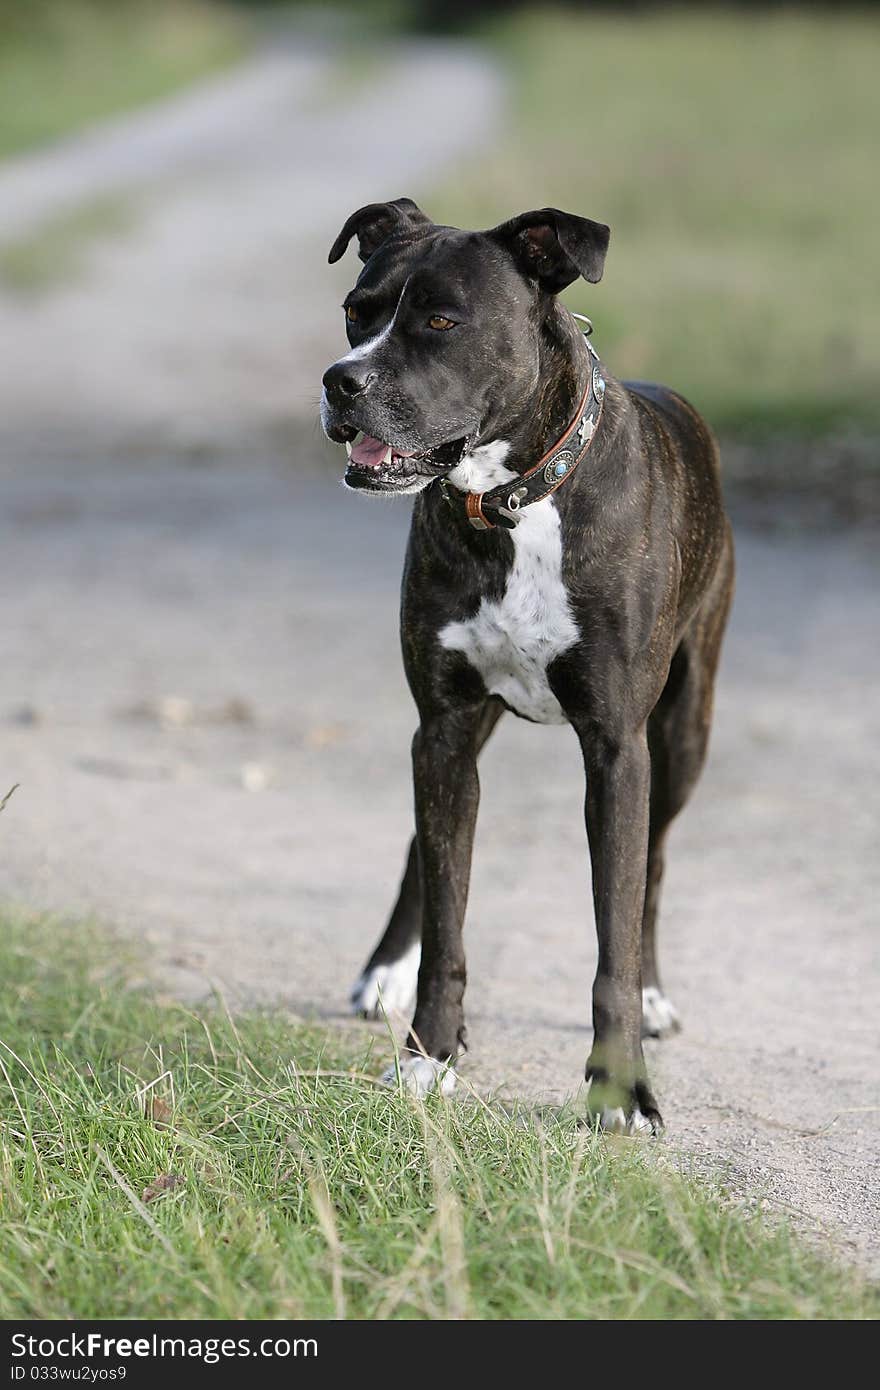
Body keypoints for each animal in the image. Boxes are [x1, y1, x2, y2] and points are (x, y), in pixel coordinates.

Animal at [319, 198, 728, 1128]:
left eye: (441, 321)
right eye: (358, 311)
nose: (340, 381)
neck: (512, 502)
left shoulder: (618, 749)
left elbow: (615, 931)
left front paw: (622, 1089)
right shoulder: (443, 722)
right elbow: (448, 914)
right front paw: (428, 1056)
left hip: (684, 733)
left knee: (655, 867)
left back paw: (656, 994)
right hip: (456, 740)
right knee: (424, 850)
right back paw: (383, 971)